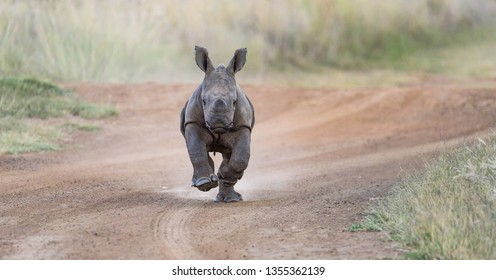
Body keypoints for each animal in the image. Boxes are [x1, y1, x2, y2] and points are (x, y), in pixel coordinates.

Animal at [179, 46, 256, 203]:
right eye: (203, 101)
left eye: (234, 102)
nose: (218, 122)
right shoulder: (192, 122)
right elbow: (196, 150)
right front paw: (204, 183)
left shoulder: (243, 126)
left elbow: (240, 158)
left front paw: (224, 174)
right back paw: (207, 181)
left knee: (229, 155)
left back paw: (231, 197)